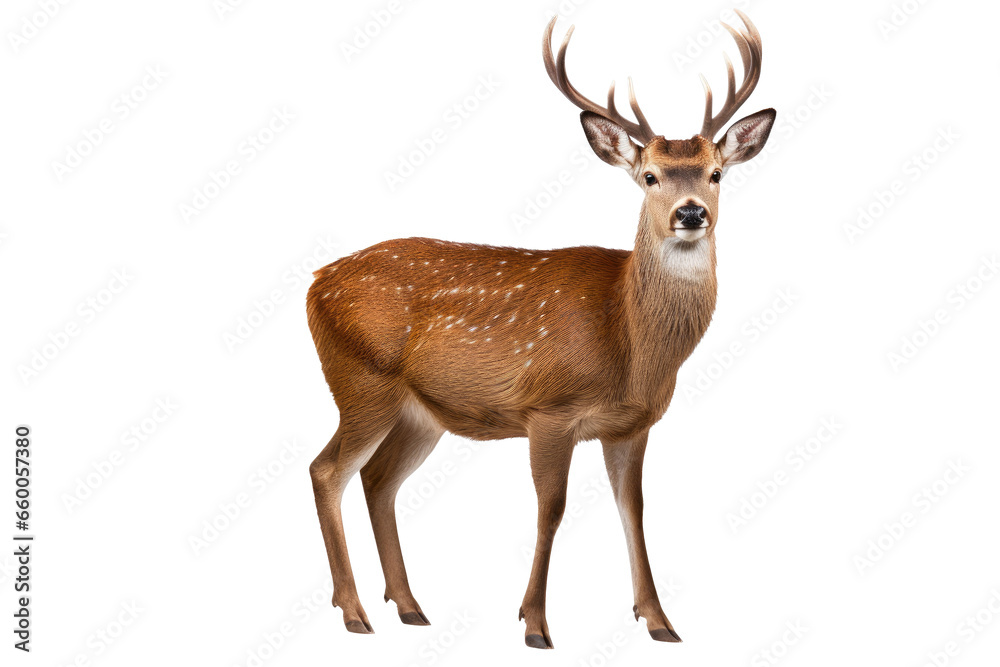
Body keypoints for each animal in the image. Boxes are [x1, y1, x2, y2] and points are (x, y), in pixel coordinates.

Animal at [306, 9, 775, 649]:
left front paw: (659, 621)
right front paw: (535, 624)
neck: (630, 345)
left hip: (419, 412)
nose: (690, 212)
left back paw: (409, 606)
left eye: (717, 173)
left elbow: (634, 508)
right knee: (327, 470)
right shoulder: (549, 410)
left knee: (378, 480)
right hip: (360, 381)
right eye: (650, 176)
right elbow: (551, 508)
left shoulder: (632, 424)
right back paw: (355, 611)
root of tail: (313, 283)